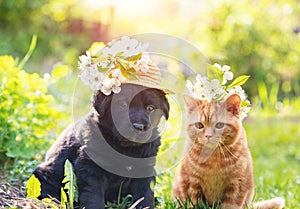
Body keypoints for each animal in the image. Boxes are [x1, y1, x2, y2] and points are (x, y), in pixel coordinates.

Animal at [32, 83, 170, 209]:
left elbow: (144, 194)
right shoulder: (90, 168)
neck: (125, 148)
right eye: (123, 105)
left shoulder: (144, 169)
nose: (138, 127)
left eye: (150, 108)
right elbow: (94, 195)